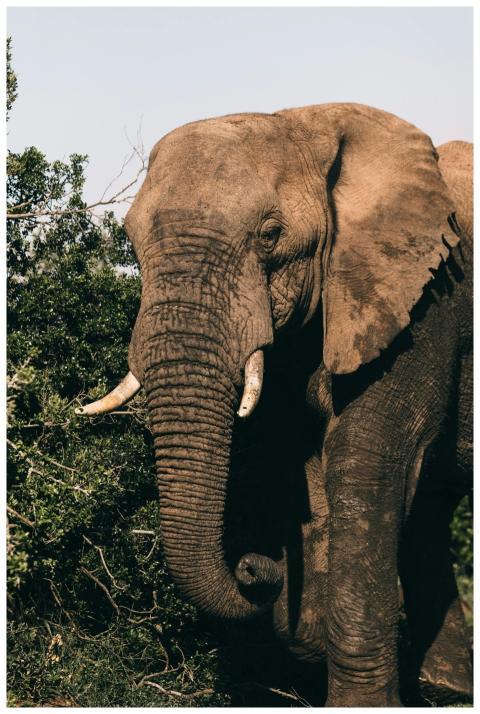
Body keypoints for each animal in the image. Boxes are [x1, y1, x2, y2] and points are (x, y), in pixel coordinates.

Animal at [77, 104, 472, 706]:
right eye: (130, 241)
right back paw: (445, 686)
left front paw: (359, 705)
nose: (255, 566)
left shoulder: (425, 300)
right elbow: (301, 462)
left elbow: (365, 460)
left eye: (270, 236)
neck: (306, 122)